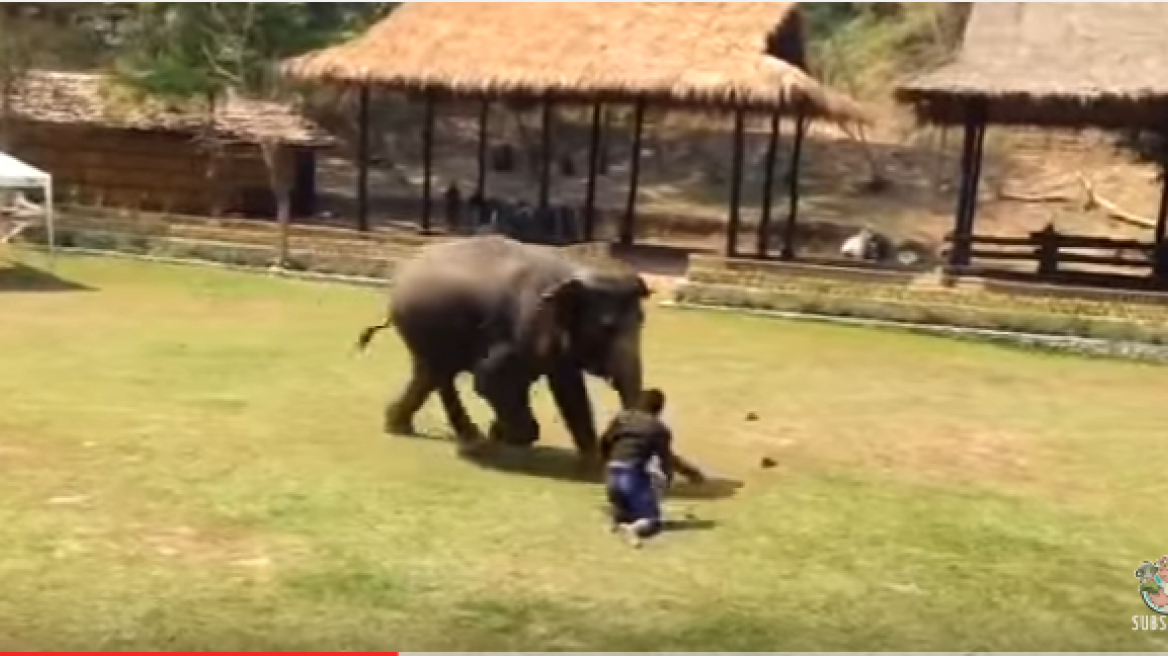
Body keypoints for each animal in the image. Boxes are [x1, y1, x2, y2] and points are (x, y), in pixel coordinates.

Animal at [355, 235, 650, 464]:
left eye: (642, 322)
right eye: (607, 328)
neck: (573, 267)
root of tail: (401, 274)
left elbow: (566, 386)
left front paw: (590, 459)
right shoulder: (527, 323)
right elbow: (493, 378)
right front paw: (512, 436)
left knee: (427, 373)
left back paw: (400, 426)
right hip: (425, 323)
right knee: (441, 375)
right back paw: (472, 441)